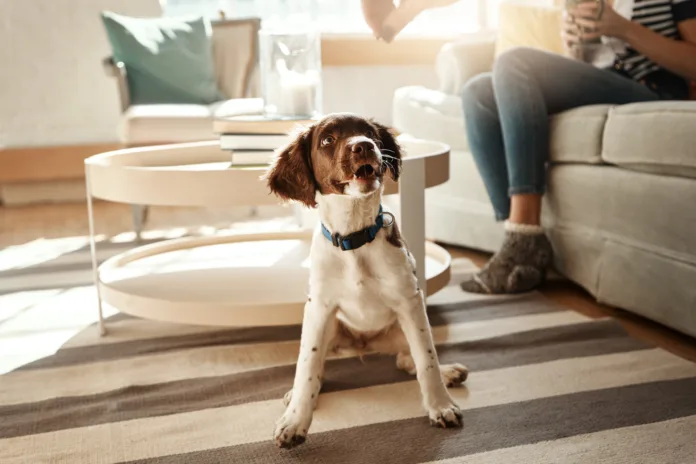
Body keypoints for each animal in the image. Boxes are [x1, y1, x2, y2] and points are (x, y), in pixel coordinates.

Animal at [266, 113, 468, 450]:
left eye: (370, 133)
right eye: (327, 140)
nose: (363, 146)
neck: (353, 239)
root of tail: (365, 343)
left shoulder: (410, 300)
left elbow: (426, 360)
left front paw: (441, 406)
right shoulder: (319, 308)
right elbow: (307, 366)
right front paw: (295, 421)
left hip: (404, 324)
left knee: (407, 357)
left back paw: (449, 372)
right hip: (330, 327)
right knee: (318, 365)